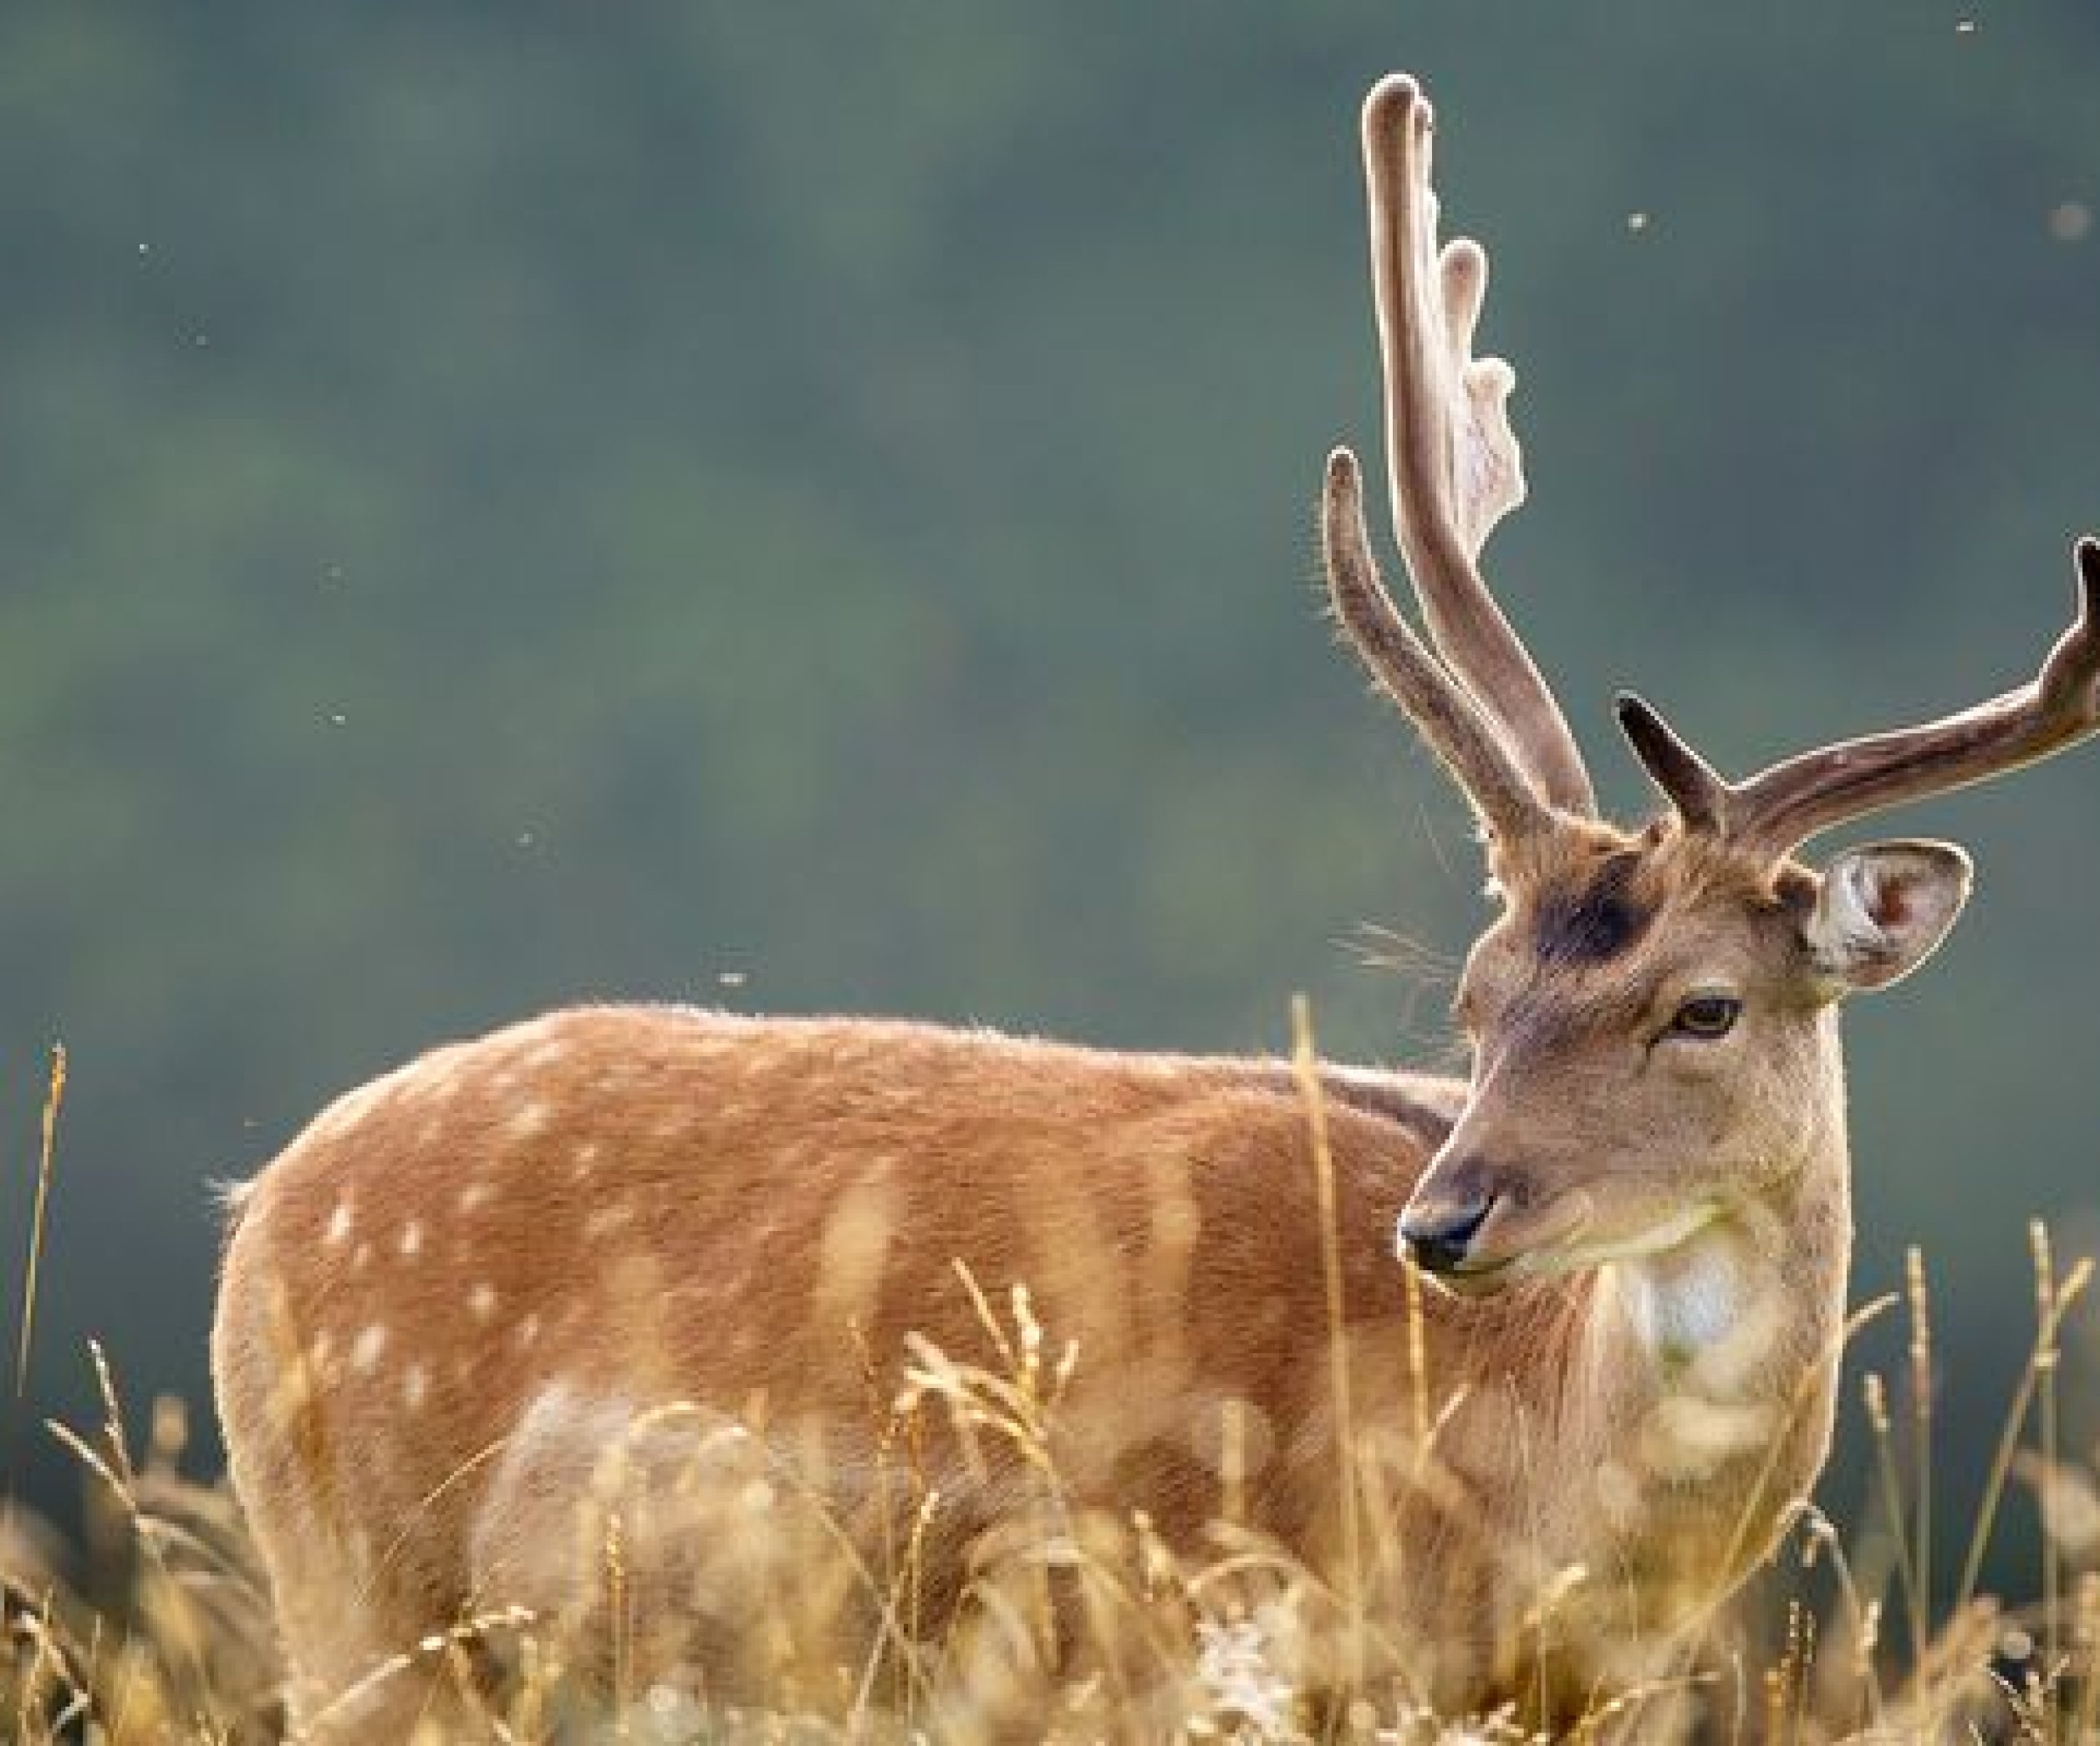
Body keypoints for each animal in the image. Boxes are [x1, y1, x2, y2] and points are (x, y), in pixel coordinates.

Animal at [204, 74, 2091, 1739]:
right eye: (1476, 997)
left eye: (1702, 1005)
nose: (1442, 1220)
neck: (1511, 1536)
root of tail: (260, 1207)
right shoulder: (1124, 1641)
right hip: (359, 1597)